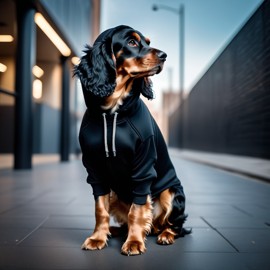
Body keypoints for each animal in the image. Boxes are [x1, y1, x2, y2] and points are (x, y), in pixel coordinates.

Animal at [74, 24, 190, 255]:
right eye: (132, 42)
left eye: (147, 42)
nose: (164, 56)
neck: (112, 112)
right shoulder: (94, 170)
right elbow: (100, 209)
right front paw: (98, 237)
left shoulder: (144, 167)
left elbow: (137, 210)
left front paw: (135, 242)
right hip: (116, 195)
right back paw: (115, 231)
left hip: (171, 192)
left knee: (175, 226)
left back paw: (165, 235)